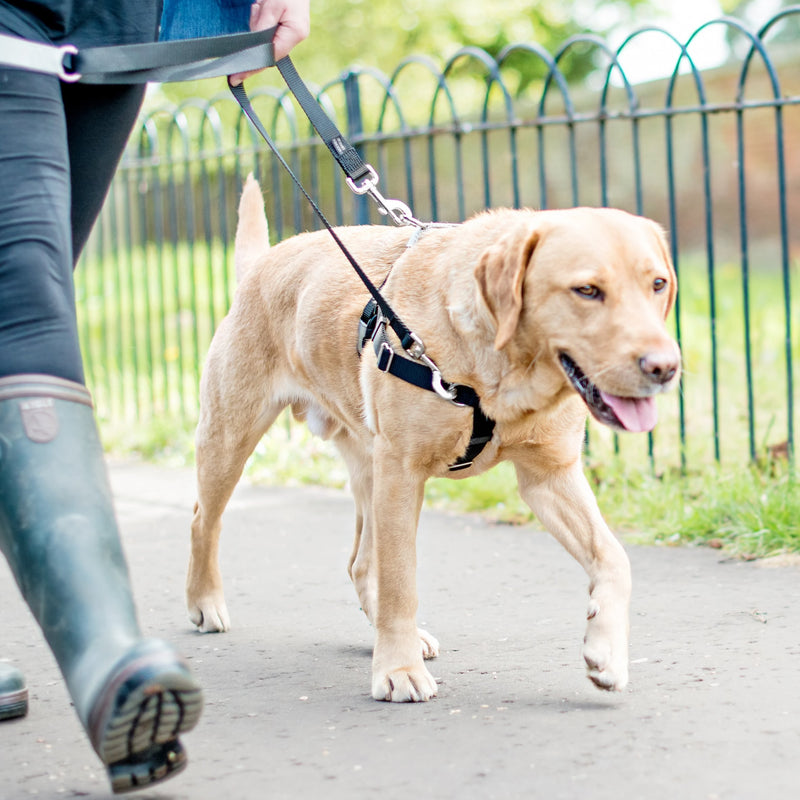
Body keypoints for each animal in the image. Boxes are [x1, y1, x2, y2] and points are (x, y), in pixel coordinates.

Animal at [189, 173, 680, 700]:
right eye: (587, 290)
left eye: (657, 284)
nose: (665, 367)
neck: (502, 371)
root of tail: (260, 266)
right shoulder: (403, 475)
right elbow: (401, 581)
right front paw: (397, 669)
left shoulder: (550, 476)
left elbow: (614, 558)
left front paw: (605, 650)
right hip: (231, 439)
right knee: (203, 521)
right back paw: (204, 602)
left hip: (370, 469)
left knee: (360, 563)